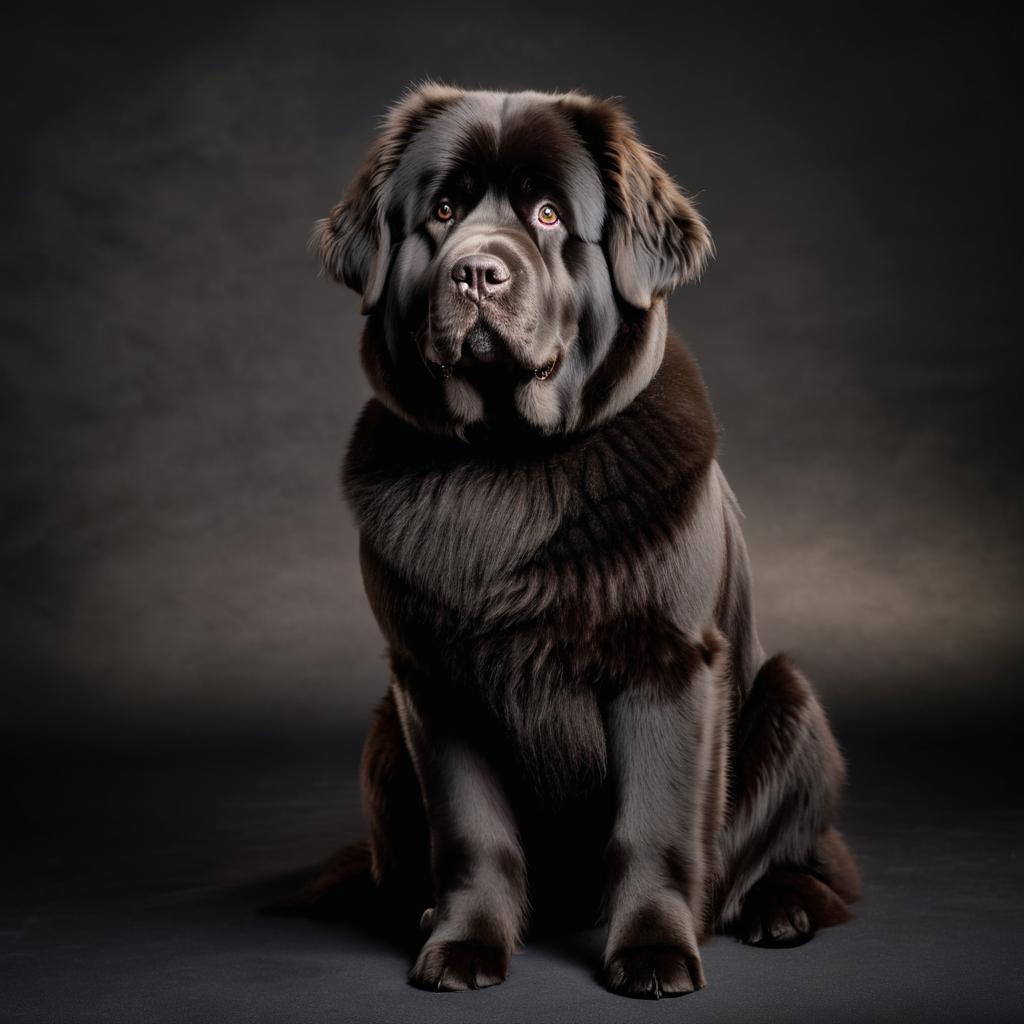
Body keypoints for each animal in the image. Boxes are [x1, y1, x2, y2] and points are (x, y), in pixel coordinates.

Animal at [309, 83, 856, 995]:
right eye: (444, 211)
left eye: (549, 214)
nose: (477, 271)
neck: (510, 467)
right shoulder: (432, 680)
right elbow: (472, 832)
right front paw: (464, 942)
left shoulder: (668, 663)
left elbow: (655, 825)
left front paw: (654, 950)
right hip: (384, 736)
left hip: (790, 703)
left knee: (806, 858)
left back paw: (781, 908)